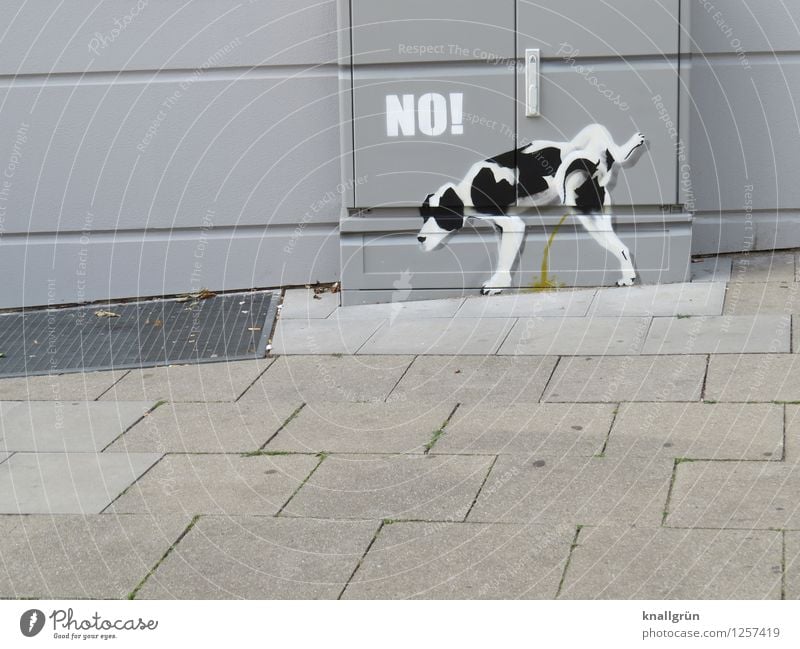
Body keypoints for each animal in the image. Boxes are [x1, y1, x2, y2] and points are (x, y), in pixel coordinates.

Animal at [416, 123, 648, 294]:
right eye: (424, 216)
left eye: (441, 216)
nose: (419, 239)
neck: (467, 191)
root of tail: (592, 164)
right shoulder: (501, 228)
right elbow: (504, 255)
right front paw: (501, 282)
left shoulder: (513, 225)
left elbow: (504, 258)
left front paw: (496, 284)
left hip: (587, 212)